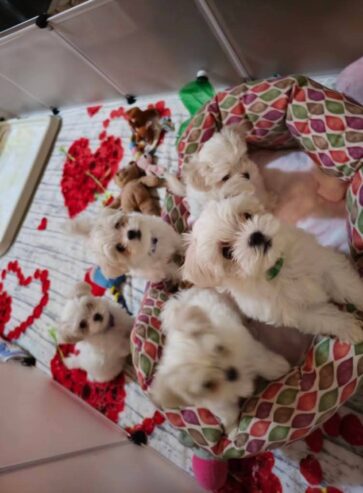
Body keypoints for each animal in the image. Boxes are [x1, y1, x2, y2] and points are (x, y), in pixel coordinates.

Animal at [150, 286, 290, 432]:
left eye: (218, 348)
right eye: (208, 384)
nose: (232, 373)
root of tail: (183, 299)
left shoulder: (248, 348)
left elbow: (262, 361)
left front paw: (280, 368)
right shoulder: (218, 401)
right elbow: (229, 412)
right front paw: (232, 429)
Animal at [183, 192, 363, 342]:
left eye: (247, 215)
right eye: (226, 252)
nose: (255, 236)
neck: (277, 268)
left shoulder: (324, 263)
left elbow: (348, 284)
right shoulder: (300, 313)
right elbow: (326, 317)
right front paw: (349, 327)